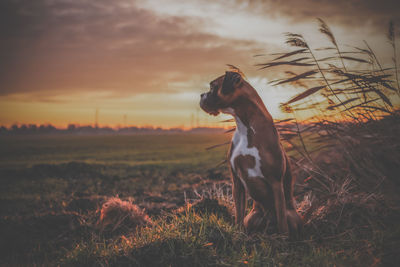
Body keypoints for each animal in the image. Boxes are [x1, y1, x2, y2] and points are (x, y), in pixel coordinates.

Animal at [200, 71, 304, 239]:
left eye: (212, 86)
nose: (201, 95)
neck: (246, 126)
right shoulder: (236, 181)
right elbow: (238, 213)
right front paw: (237, 234)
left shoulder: (276, 182)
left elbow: (282, 221)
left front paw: (284, 240)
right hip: (252, 217)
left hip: (291, 215)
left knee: (284, 219)